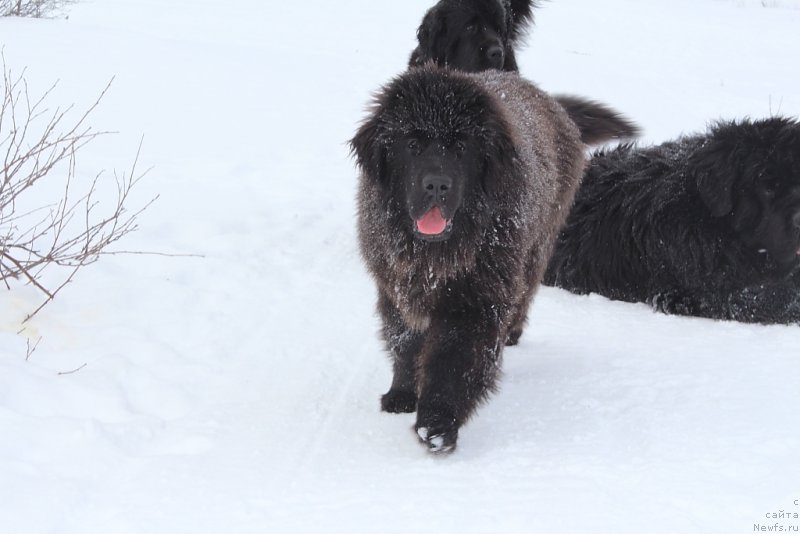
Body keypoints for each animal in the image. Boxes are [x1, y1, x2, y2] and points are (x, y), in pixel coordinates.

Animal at [348, 65, 580, 454]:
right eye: (411, 145)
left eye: (461, 148)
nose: (436, 185)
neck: (434, 257)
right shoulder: (397, 287)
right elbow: (405, 343)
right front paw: (402, 392)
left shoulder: (475, 300)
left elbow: (452, 361)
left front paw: (437, 423)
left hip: (537, 246)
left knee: (523, 296)